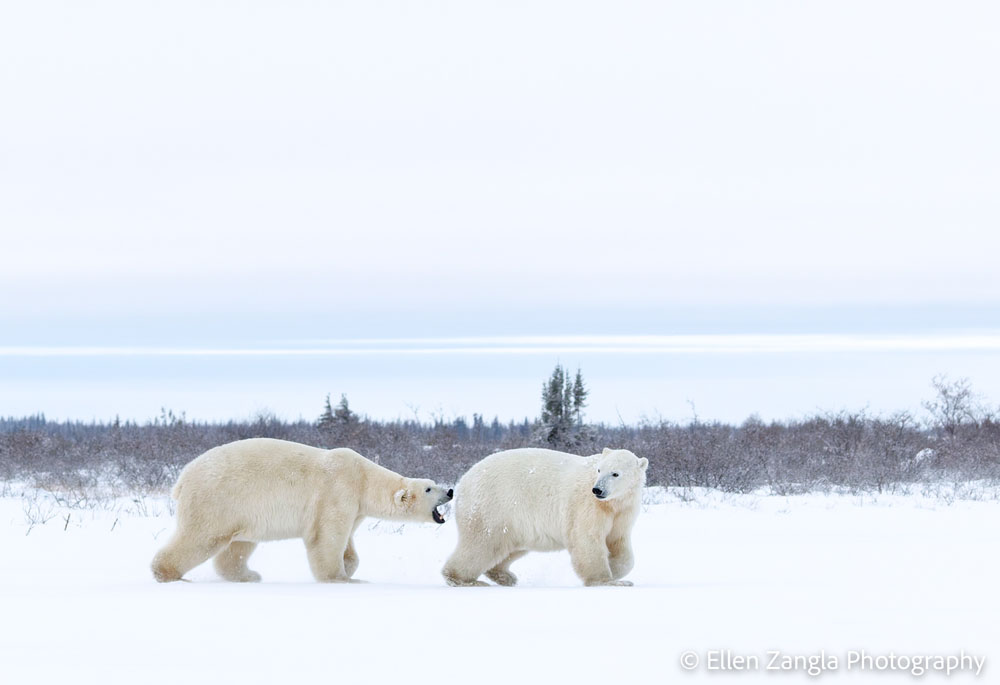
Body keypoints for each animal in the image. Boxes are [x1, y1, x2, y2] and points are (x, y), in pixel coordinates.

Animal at [151, 438, 454, 584]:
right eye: (429, 489)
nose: (450, 490)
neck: (364, 478)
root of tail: (182, 478)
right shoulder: (338, 492)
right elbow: (326, 538)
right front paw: (340, 578)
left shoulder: (355, 508)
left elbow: (348, 544)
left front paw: (349, 567)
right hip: (217, 499)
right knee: (201, 537)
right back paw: (168, 573)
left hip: (241, 510)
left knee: (238, 545)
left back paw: (248, 575)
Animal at [440, 446, 644, 584]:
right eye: (599, 470)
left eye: (615, 473)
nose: (597, 490)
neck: (611, 503)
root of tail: (463, 481)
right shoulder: (587, 506)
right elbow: (587, 539)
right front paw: (607, 580)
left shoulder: (623, 511)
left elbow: (619, 542)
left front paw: (616, 571)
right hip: (491, 507)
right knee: (481, 544)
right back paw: (463, 579)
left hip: (515, 523)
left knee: (508, 547)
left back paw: (505, 576)